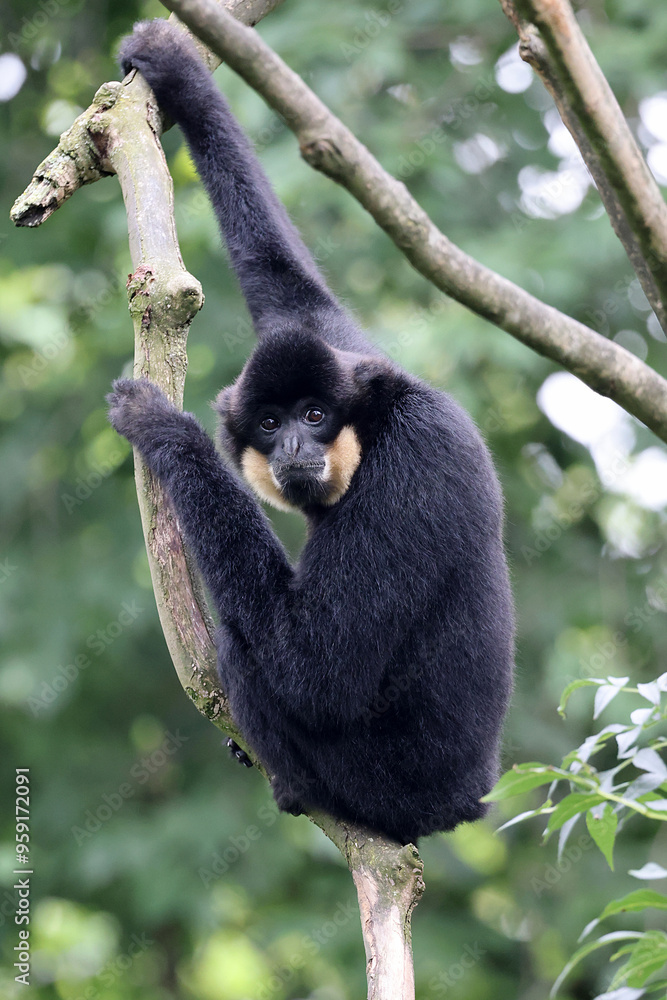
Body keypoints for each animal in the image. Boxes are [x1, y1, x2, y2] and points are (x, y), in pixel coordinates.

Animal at [108, 19, 514, 844]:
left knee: (249, 651)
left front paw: (166, 429)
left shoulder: (409, 471)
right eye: (272, 421)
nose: (295, 444)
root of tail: (466, 798)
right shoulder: (350, 353)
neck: (380, 423)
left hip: (380, 780)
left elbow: (314, 670)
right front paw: (179, 73)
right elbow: (289, 291)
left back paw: (293, 784)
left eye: (315, 416)